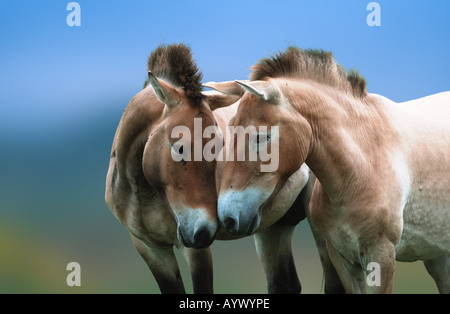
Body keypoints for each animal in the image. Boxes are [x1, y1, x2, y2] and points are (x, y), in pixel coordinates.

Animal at [105, 44, 326, 294]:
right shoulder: (149, 248)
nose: (202, 232)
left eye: (219, 147)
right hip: (272, 226)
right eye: (180, 147)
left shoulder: (195, 250)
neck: (141, 191)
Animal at [216, 46, 448, 294]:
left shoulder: (382, 256)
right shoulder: (342, 259)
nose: (227, 217)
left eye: (262, 136)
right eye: (231, 128)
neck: (361, 169)